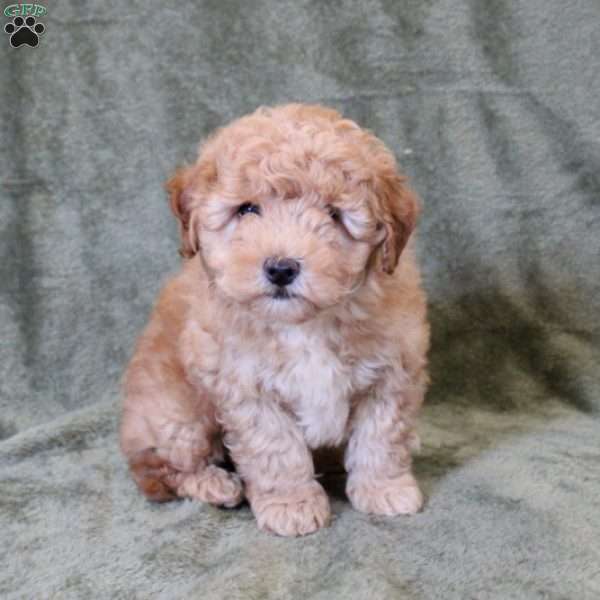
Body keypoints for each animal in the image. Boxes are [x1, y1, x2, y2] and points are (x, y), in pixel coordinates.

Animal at [119, 102, 428, 536]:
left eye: (334, 215)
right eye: (248, 209)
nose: (281, 268)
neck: (305, 324)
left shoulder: (392, 372)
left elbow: (381, 435)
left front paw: (385, 488)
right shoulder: (246, 387)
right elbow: (276, 448)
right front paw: (291, 504)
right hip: (175, 415)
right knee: (161, 470)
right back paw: (215, 484)